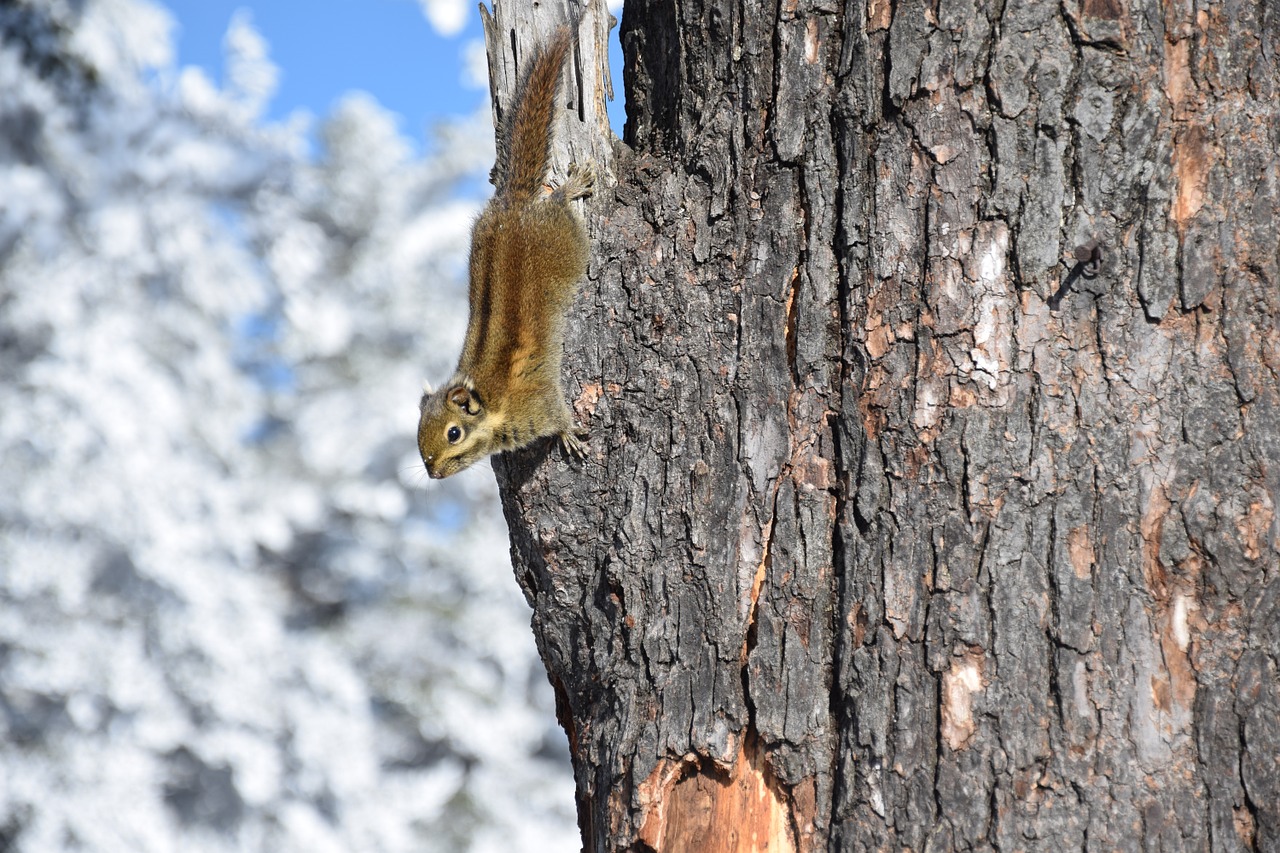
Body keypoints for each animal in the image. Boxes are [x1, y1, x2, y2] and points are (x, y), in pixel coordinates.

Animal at [422, 24, 596, 479]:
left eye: (453, 433)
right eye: (418, 436)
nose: (432, 472)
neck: (492, 406)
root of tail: (512, 204)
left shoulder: (540, 404)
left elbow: (559, 416)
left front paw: (568, 435)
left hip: (565, 239)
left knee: (559, 205)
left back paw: (569, 188)